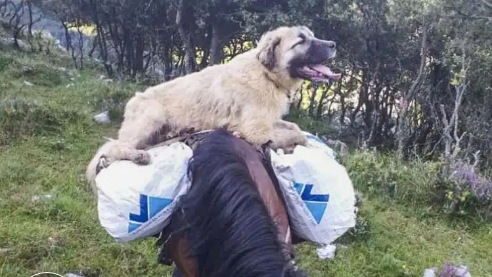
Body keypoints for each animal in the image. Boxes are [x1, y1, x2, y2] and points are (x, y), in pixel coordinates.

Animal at [86, 25, 340, 185]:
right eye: (301, 41)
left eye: (312, 36)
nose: (333, 44)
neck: (267, 74)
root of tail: (132, 102)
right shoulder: (257, 131)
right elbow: (298, 135)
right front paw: (294, 143)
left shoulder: (269, 120)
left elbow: (294, 128)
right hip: (151, 116)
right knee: (111, 148)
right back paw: (137, 155)